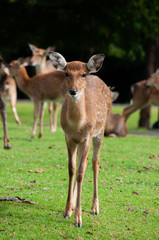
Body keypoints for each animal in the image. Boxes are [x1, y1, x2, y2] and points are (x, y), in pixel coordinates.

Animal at [49, 51, 111, 228]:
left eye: (83, 74)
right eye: (66, 73)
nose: (73, 91)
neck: (78, 125)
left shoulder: (87, 137)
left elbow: (81, 172)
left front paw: (78, 218)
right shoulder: (68, 137)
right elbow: (72, 169)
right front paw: (66, 211)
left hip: (100, 131)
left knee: (95, 162)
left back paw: (95, 207)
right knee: (80, 165)